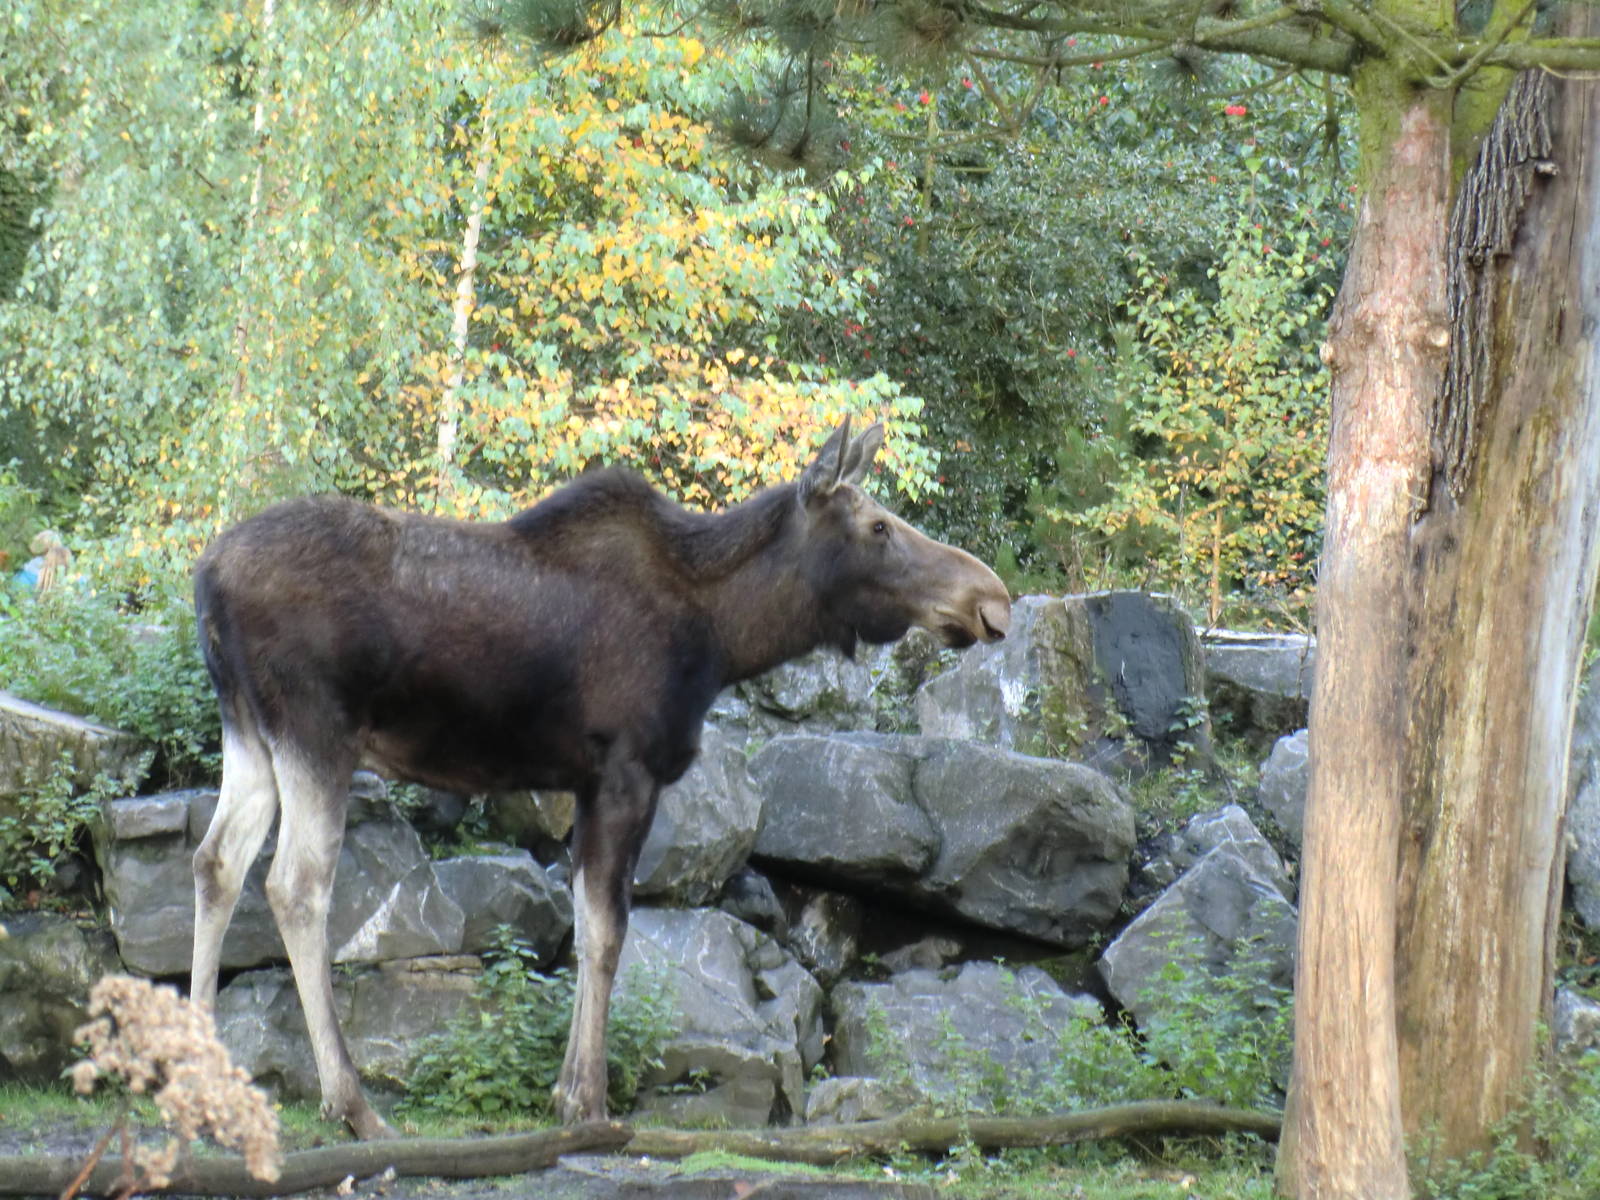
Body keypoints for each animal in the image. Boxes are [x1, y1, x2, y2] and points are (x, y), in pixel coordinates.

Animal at [189, 418, 1011, 1138]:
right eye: (878, 527)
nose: (991, 598)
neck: (726, 636)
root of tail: (206, 576)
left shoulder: (584, 785)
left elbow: (583, 930)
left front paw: (565, 1091)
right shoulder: (627, 771)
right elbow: (610, 931)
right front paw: (588, 1101)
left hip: (249, 731)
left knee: (215, 862)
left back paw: (196, 1074)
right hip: (316, 730)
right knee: (295, 885)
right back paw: (351, 1104)